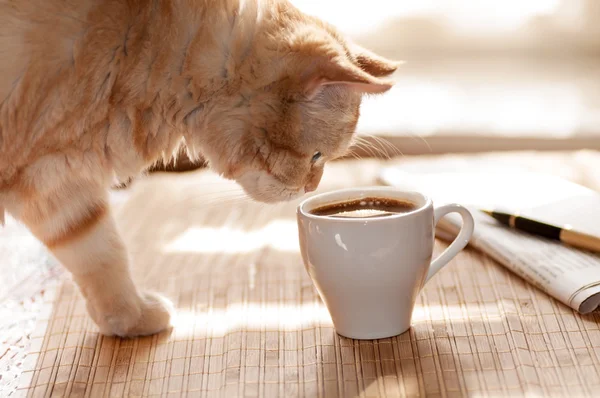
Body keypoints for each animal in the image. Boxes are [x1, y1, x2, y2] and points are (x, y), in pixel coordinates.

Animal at [2, 0, 400, 336]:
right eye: (317, 156)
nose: (311, 189)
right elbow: (102, 252)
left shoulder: (57, 183)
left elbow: (101, 253)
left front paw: (129, 318)